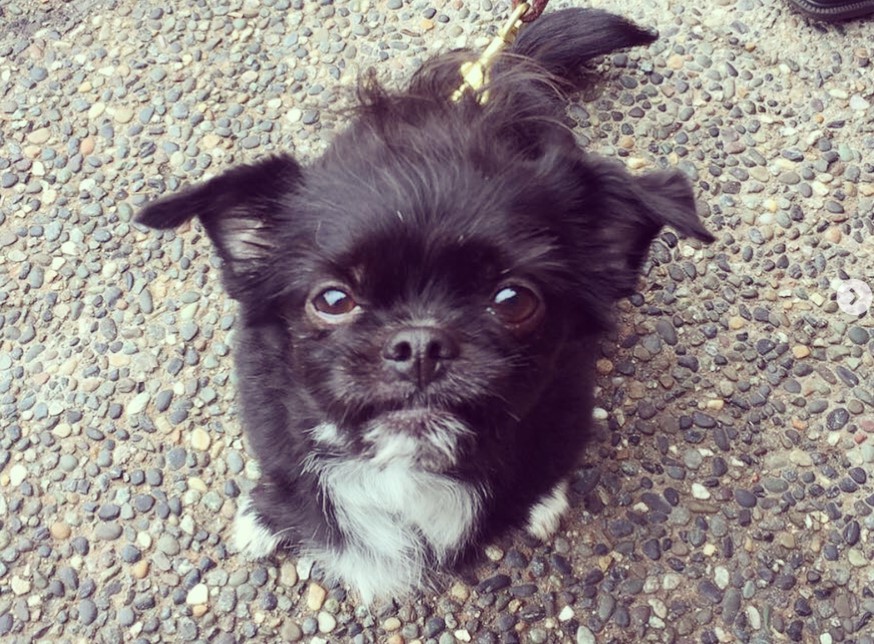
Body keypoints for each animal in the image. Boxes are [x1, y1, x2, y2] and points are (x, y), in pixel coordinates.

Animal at [135, 7, 708, 600]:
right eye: (333, 299)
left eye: (514, 300)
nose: (420, 344)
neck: (405, 466)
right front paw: (267, 515)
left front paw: (541, 499)